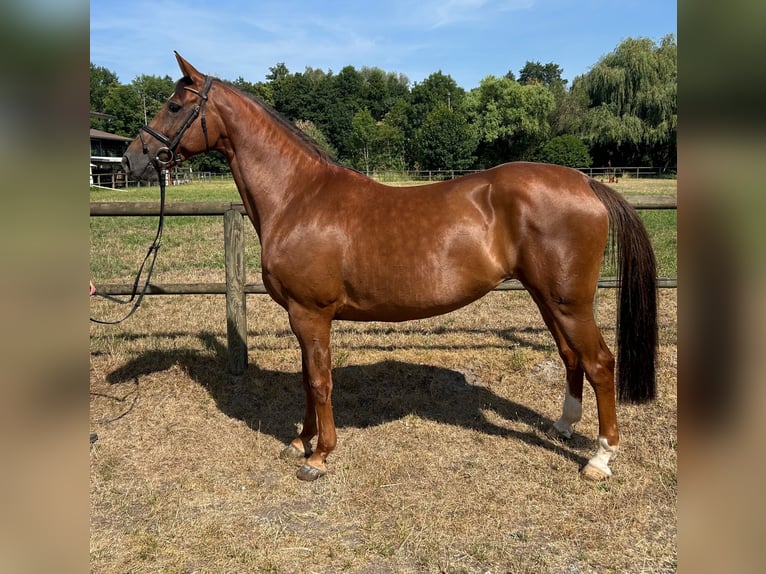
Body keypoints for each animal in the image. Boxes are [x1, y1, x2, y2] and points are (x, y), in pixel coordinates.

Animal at [122, 53, 657, 482]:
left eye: (174, 106)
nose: (131, 161)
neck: (297, 196)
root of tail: (587, 183)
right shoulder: (302, 316)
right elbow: (308, 378)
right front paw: (300, 440)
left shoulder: (310, 313)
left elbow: (319, 381)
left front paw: (319, 456)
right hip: (548, 298)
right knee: (571, 358)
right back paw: (563, 426)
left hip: (570, 302)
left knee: (599, 363)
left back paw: (600, 458)